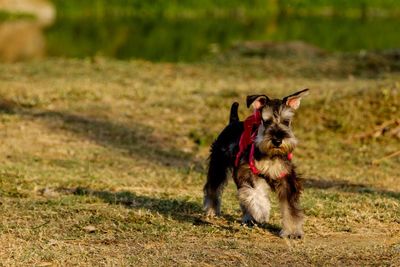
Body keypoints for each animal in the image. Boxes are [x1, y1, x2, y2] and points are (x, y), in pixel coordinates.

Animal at [203, 89, 310, 240]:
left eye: (286, 121)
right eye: (266, 121)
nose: (277, 141)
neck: (270, 155)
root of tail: (234, 121)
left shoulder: (286, 178)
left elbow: (290, 208)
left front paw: (292, 231)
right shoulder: (246, 171)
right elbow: (254, 193)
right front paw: (261, 211)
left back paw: (248, 217)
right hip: (218, 165)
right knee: (213, 187)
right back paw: (212, 210)